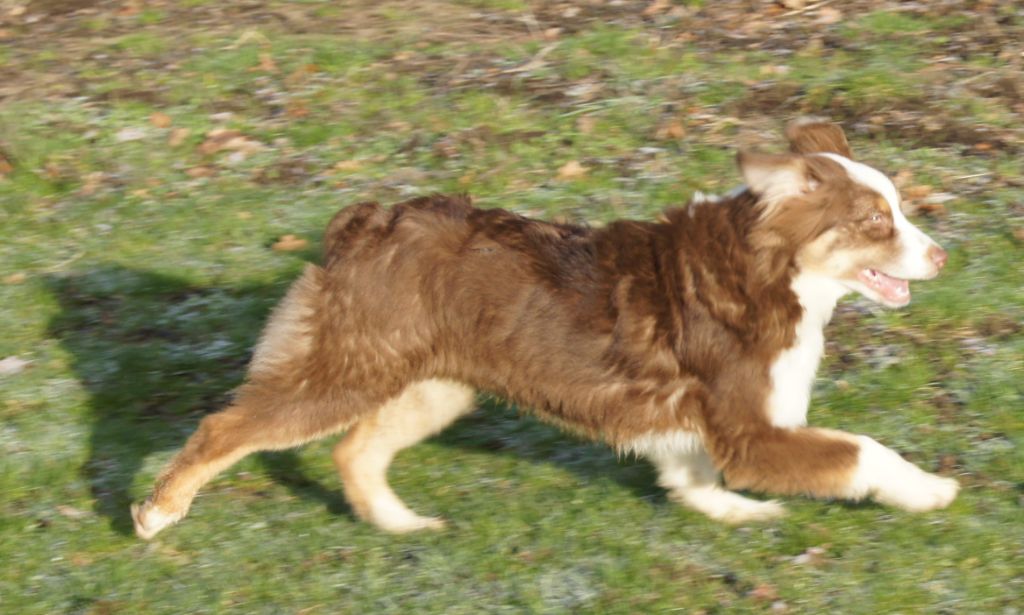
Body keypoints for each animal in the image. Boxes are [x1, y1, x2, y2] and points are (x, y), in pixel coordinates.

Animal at [132, 118, 954, 536]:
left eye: (897, 209)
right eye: (876, 221)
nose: (943, 254)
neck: (774, 271)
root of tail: (364, 223)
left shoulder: (700, 427)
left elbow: (688, 476)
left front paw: (733, 510)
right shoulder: (754, 432)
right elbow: (864, 452)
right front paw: (933, 489)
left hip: (433, 385)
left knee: (353, 451)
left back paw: (402, 525)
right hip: (345, 372)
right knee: (226, 427)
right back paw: (157, 511)